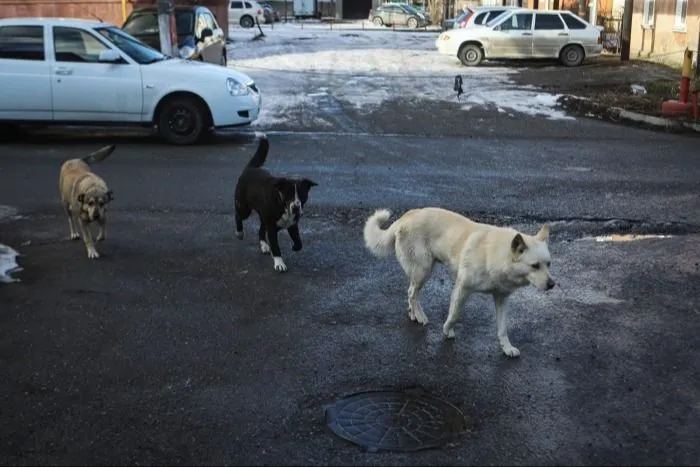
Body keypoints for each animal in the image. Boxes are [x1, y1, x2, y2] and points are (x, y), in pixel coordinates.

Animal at [234, 133, 318, 272]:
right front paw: (279, 263)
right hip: (245, 207)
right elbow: (276, 246)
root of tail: (250, 168)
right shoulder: (272, 227)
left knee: (261, 231)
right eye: (288, 194)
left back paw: (264, 245)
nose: (296, 207)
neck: (282, 204)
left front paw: (295, 247)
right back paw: (239, 232)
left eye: (302, 195)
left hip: (263, 217)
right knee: (238, 216)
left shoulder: (292, 224)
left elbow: (299, 241)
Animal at [364, 207, 556, 356]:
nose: (552, 285)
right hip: (423, 270)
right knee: (412, 293)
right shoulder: (462, 288)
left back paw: (413, 313)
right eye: (535, 266)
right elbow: (455, 314)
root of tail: (406, 217)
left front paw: (507, 348)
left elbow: (503, 328)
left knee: (411, 292)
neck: (497, 255)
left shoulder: (502, 297)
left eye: (548, 264)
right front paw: (447, 330)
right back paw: (420, 315)